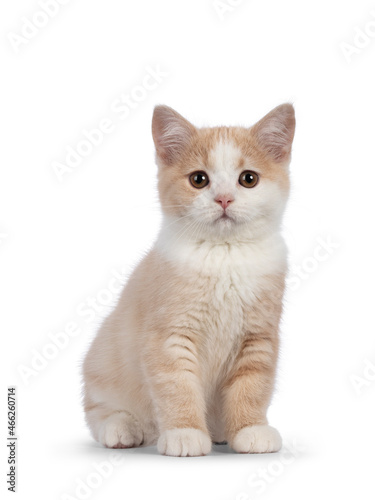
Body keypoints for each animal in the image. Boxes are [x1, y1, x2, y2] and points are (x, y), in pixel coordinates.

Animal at [83, 104, 296, 458]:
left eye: (248, 179)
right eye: (199, 179)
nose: (224, 199)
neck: (225, 254)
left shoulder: (258, 337)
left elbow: (252, 386)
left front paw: (250, 429)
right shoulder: (168, 336)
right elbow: (177, 387)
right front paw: (185, 432)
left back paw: (221, 431)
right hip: (103, 358)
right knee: (99, 409)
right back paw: (122, 428)